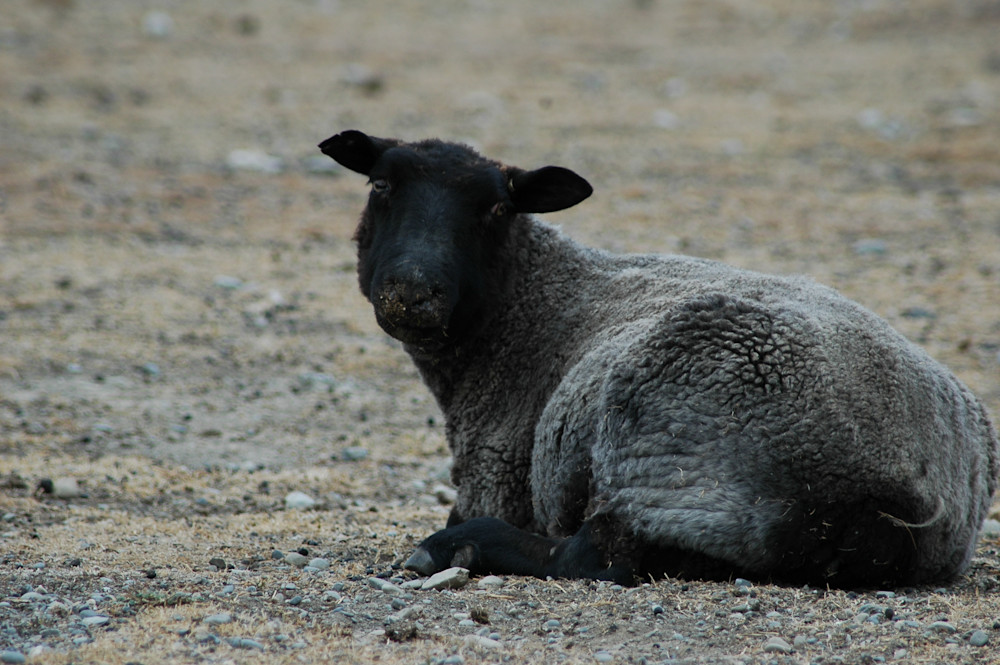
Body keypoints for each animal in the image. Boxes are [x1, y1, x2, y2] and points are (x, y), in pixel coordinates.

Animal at [318, 129, 999, 587]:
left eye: (496, 208)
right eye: (380, 185)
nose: (413, 291)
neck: (530, 306)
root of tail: (901, 495)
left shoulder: (496, 475)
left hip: (676, 449)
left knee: (596, 555)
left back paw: (456, 548)